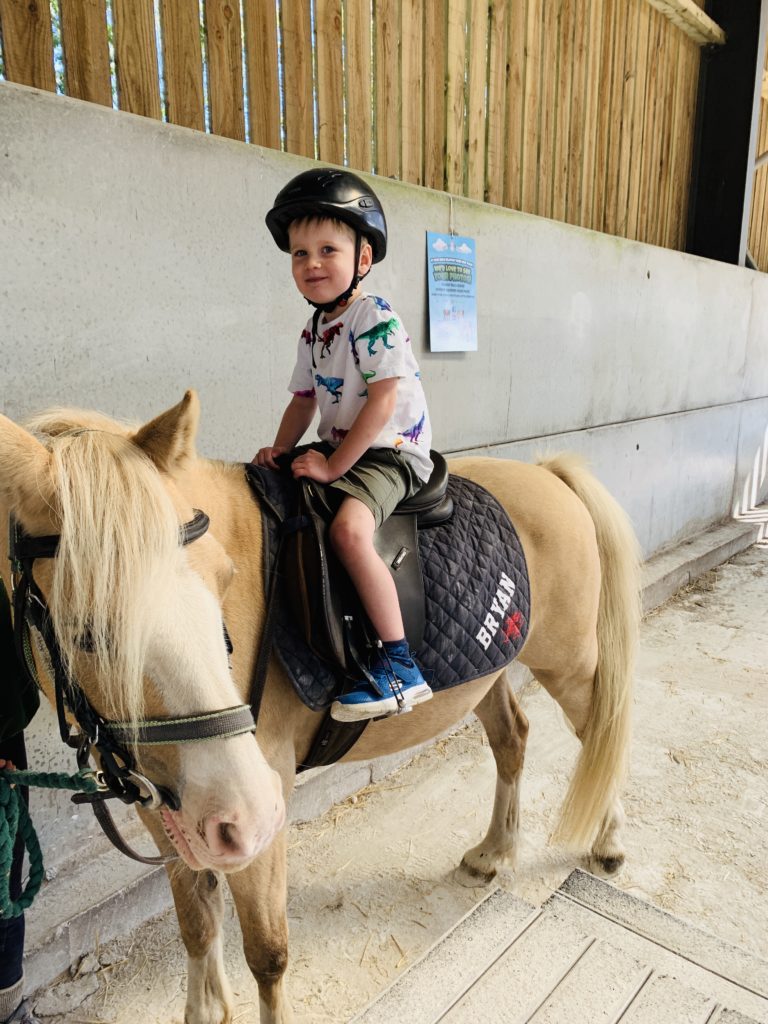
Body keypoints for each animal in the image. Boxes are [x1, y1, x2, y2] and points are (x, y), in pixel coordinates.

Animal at [0, 393, 638, 1024]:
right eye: (84, 631)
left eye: (223, 581)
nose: (249, 814)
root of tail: (547, 472)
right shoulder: (166, 805)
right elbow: (197, 924)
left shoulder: (263, 797)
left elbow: (267, 954)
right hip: (487, 673)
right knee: (513, 738)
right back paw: (493, 852)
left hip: (569, 665)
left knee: (599, 733)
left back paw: (607, 844)